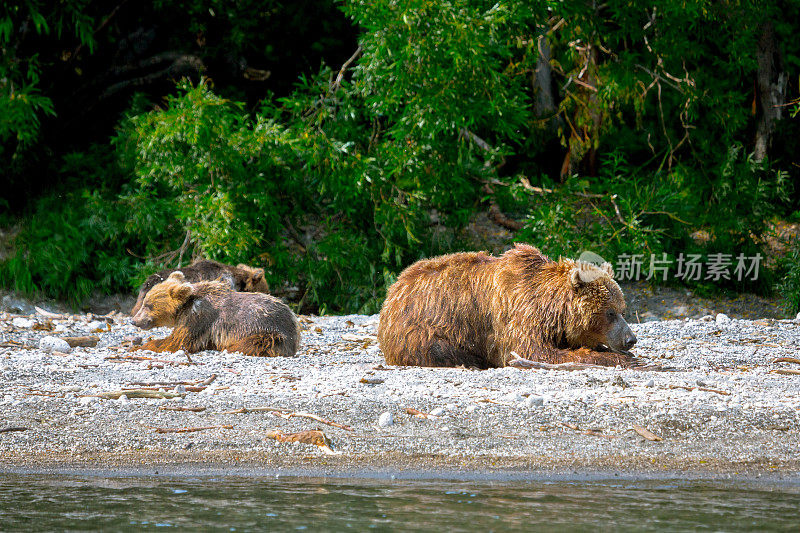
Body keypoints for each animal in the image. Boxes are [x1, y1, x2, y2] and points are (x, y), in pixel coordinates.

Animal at [133, 272, 298, 356]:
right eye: (144, 302)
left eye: (148, 305)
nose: (134, 321)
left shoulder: (198, 317)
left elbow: (177, 342)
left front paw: (143, 345)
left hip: (269, 333)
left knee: (251, 343)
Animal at [376, 243, 636, 368]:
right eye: (610, 312)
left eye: (623, 310)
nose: (630, 339)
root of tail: (392, 291)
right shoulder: (519, 312)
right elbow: (533, 352)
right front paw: (624, 359)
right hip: (421, 330)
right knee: (440, 350)